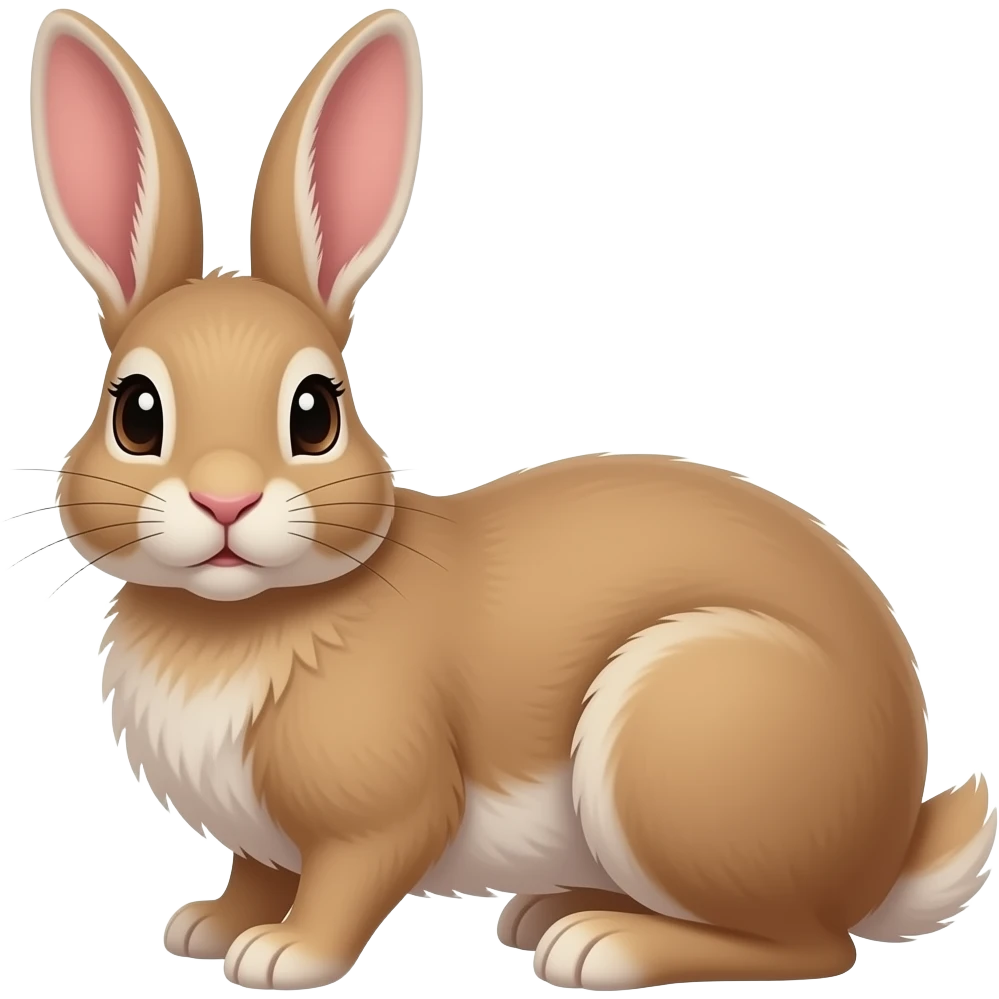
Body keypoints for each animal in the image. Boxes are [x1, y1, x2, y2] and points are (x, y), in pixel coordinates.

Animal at [27, 7, 995, 993]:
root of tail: (887, 846)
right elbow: (257, 872)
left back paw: (602, 943)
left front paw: (282, 954)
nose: (226, 500)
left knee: (809, 945)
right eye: (136, 411)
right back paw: (551, 910)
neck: (238, 613)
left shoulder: (384, 806)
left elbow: (350, 878)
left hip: (677, 736)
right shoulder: (261, 841)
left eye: (315, 411)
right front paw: (208, 925)